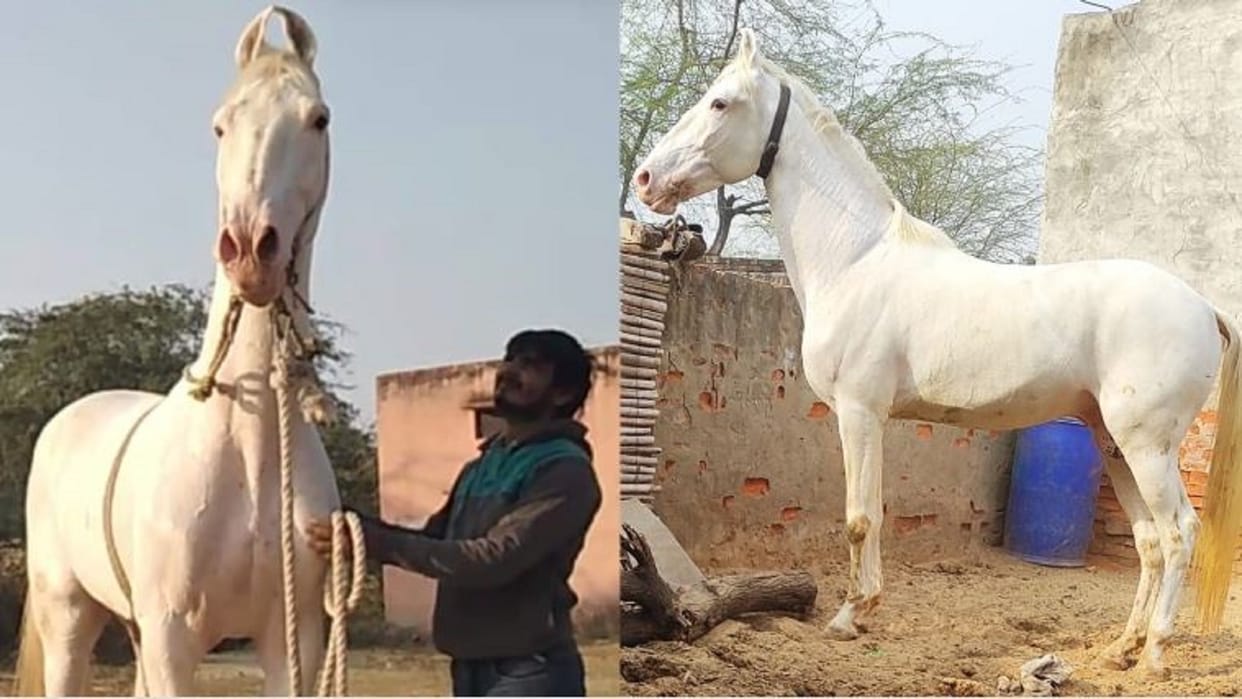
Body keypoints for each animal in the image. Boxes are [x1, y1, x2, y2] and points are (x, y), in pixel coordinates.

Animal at [12, 6, 360, 695]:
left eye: (319, 119)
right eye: (220, 124)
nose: (251, 250)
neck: (245, 448)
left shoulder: (292, 640)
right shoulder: (174, 638)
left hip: (134, 629)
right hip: (70, 618)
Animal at [631, 28, 1242, 680]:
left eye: (720, 102)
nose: (644, 179)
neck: (856, 260)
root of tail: (1203, 305)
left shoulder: (859, 413)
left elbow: (859, 518)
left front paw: (849, 617)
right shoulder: (870, 417)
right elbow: (871, 512)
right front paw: (863, 610)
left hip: (1147, 446)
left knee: (1178, 533)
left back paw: (1154, 654)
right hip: (1114, 443)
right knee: (1149, 540)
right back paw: (1121, 648)